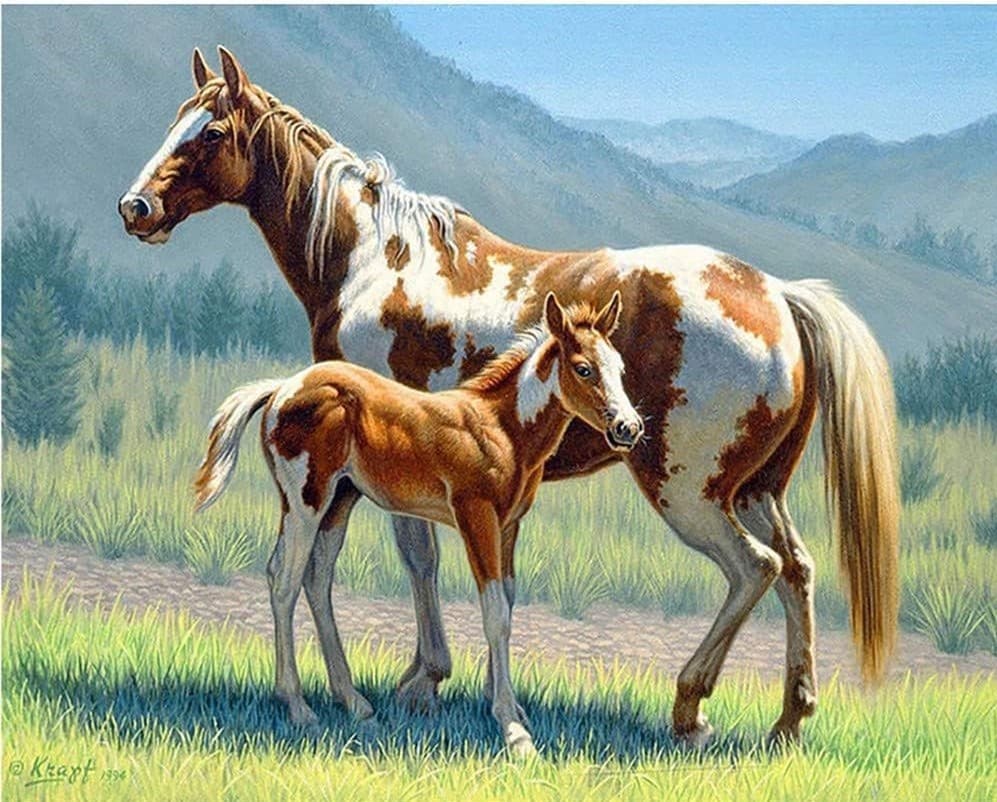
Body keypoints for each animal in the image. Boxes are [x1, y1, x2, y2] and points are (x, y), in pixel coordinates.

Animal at [194, 291, 642, 755]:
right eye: (584, 368)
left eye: (620, 368)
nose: (629, 427)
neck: (502, 428)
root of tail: (284, 388)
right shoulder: (475, 516)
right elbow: (495, 613)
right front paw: (513, 731)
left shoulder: (509, 525)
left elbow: (508, 604)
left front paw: (514, 711)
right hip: (305, 503)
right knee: (285, 580)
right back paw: (300, 708)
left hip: (339, 502)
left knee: (314, 578)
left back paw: (355, 703)